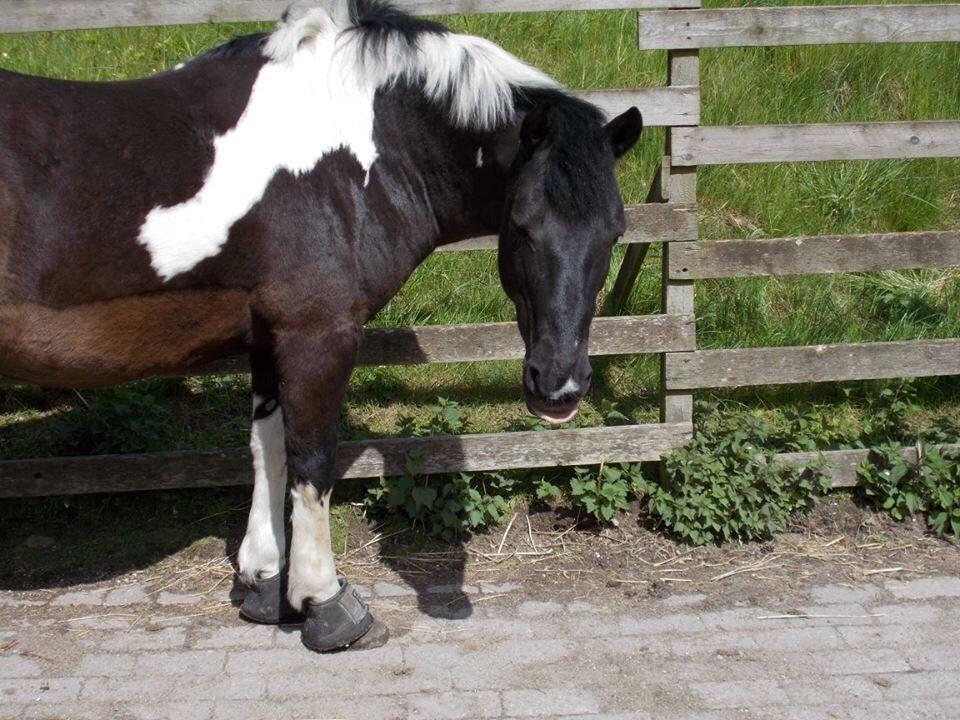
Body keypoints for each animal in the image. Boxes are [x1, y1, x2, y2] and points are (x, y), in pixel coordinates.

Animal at [0, 0, 642, 652]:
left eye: (614, 231)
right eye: (523, 224)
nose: (558, 386)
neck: (348, 152)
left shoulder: (268, 335)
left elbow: (268, 447)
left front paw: (264, 583)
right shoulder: (317, 334)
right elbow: (312, 461)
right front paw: (325, 603)